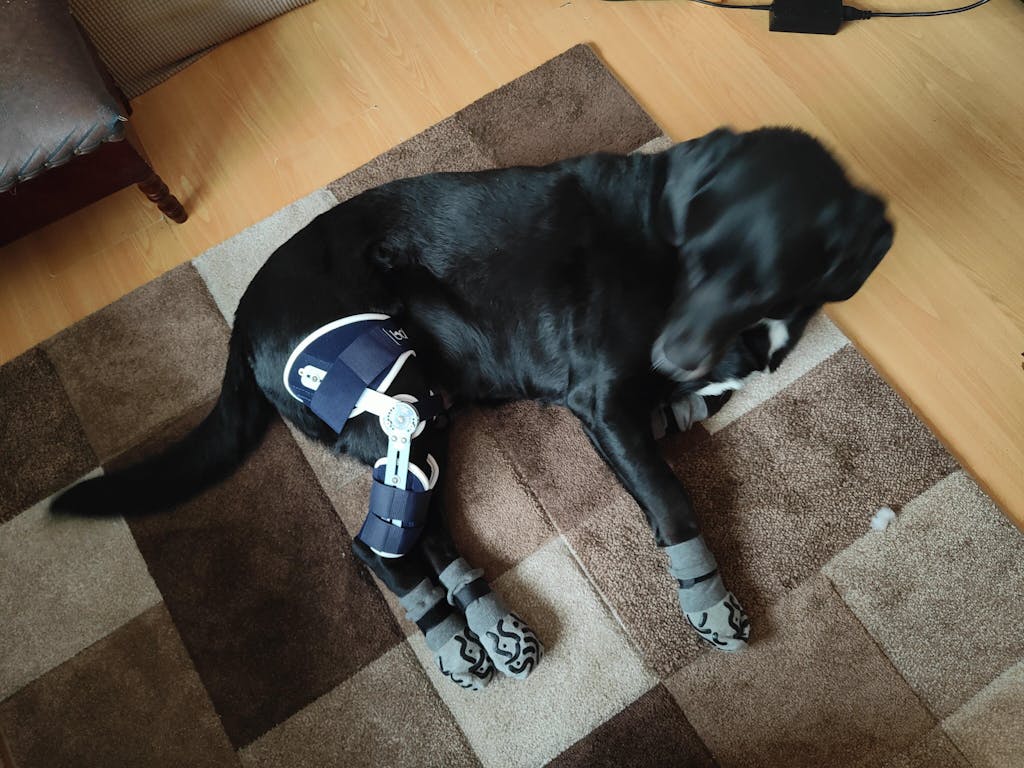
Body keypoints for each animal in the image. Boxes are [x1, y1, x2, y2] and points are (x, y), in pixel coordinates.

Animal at [53, 126, 893, 687]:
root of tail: (241, 317)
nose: (672, 356)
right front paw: (708, 600)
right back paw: (456, 637)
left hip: (426, 411)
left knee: (423, 532)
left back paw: (489, 629)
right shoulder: (604, 404)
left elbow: (689, 422)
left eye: (760, 278)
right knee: (377, 546)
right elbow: (673, 498)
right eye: (698, 256)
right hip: (398, 399)